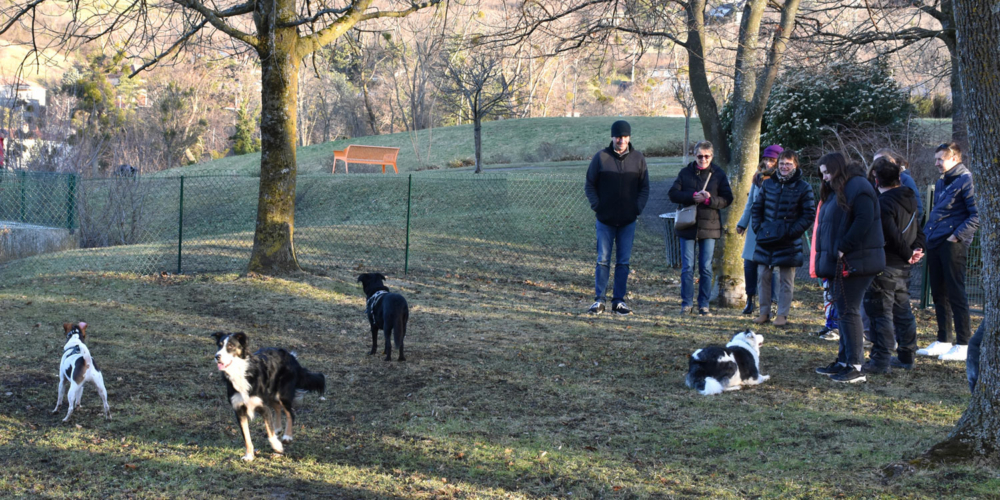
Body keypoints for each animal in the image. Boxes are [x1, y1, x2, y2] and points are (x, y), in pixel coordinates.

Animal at [213, 332, 326, 460]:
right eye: (219, 345)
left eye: (230, 346)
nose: (217, 356)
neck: (241, 372)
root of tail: (291, 356)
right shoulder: (239, 411)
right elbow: (247, 438)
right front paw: (249, 456)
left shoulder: (262, 407)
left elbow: (269, 432)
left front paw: (277, 447)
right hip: (270, 395)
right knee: (277, 408)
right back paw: (277, 428)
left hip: (282, 395)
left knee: (290, 413)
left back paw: (287, 436)